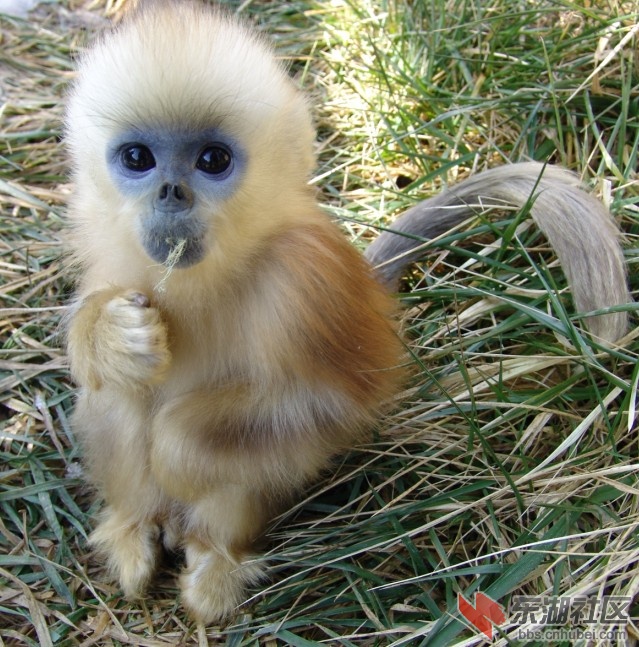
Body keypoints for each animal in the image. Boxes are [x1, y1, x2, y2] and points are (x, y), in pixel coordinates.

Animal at [65, 0, 632, 624]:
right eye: (137, 158)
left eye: (212, 160)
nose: (170, 192)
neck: (208, 276)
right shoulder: (115, 254)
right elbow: (98, 352)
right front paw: (110, 337)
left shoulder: (305, 285)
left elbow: (325, 406)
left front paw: (173, 452)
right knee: (117, 396)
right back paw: (132, 529)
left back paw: (216, 563)